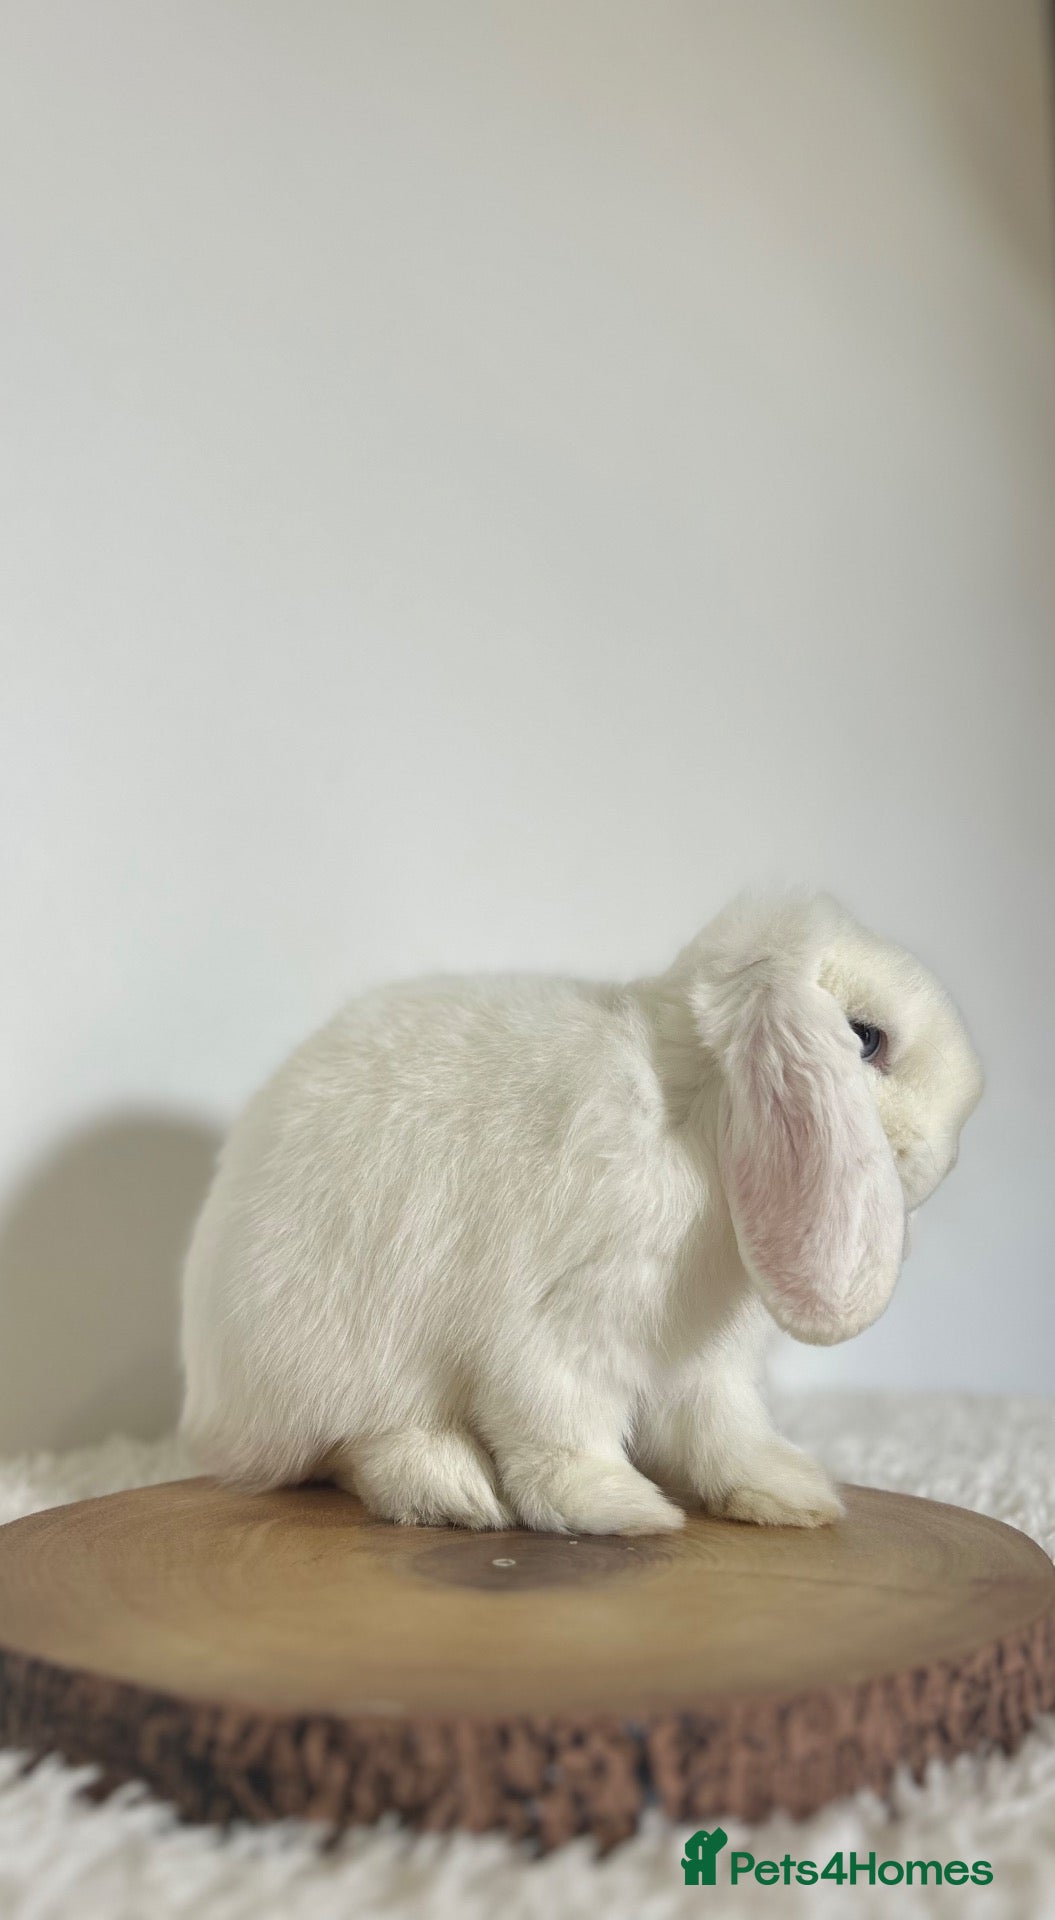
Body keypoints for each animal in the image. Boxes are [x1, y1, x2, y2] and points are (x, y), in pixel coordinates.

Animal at [180, 892, 983, 1537]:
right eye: (866, 1038)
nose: (948, 1150)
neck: (696, 1114)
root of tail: (209, 1413)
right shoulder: (558, 1328)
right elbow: (559, 1434)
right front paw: (623, 1510)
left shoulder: (705, 1365)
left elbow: (723, 1432)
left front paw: (788, 1494)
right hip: (340, 1364)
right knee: (351, 1450)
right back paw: (452, 1490)